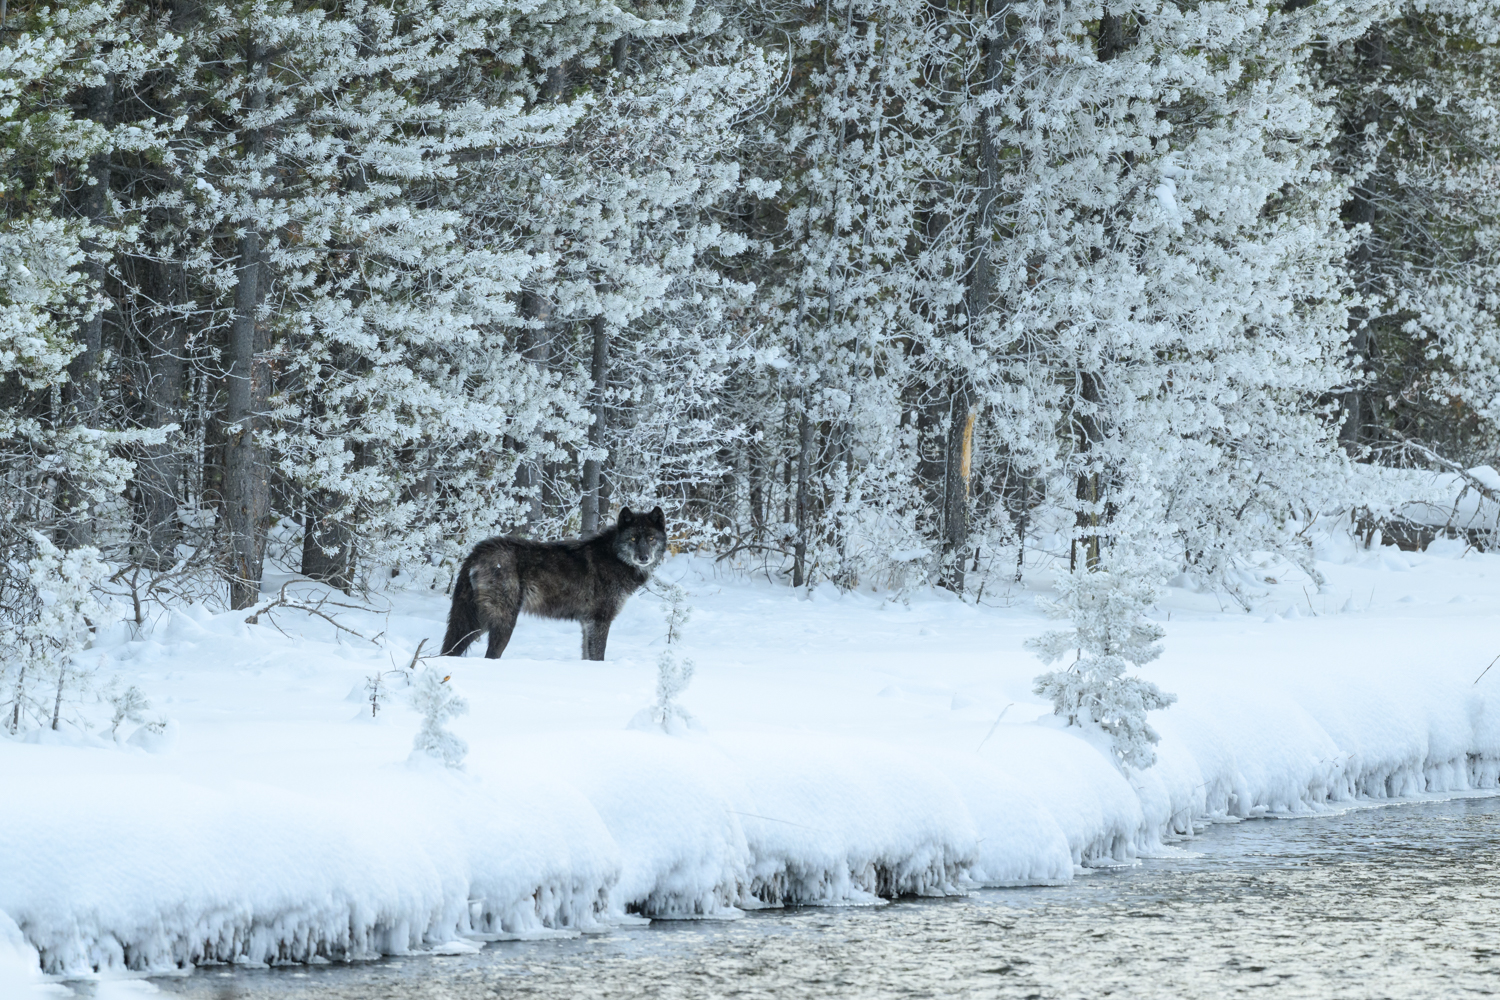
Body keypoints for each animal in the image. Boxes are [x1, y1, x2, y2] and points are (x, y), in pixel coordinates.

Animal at [440, 506, 668, 661]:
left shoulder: (587, 624)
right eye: (632, 539)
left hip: (474, 623)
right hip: (502, 622)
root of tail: (477, 551)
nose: (643, 557)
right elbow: (598, 657)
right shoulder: (600, 621)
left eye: (650, 538)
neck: (614, 557)